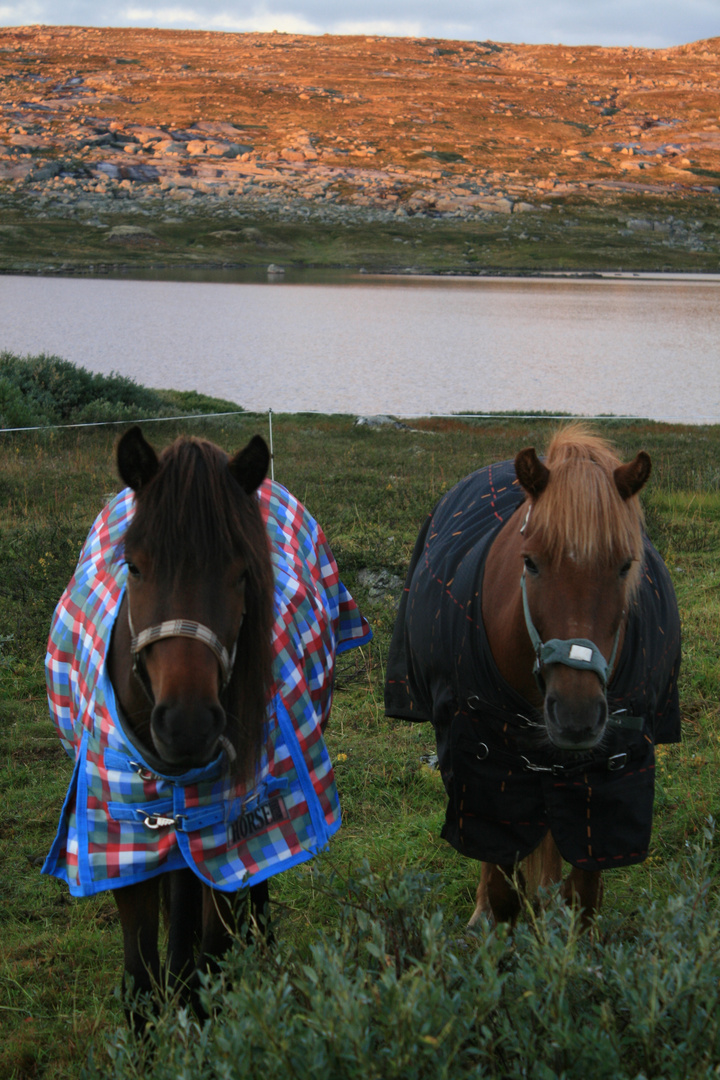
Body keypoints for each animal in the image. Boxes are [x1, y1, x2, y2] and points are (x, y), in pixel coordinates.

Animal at [386, 425, 677, 933]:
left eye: (625, 564)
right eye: (531, 562)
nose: (577, 716)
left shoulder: (605, 780)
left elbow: (584, 897)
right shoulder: (486, 766)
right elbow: (503, 883)